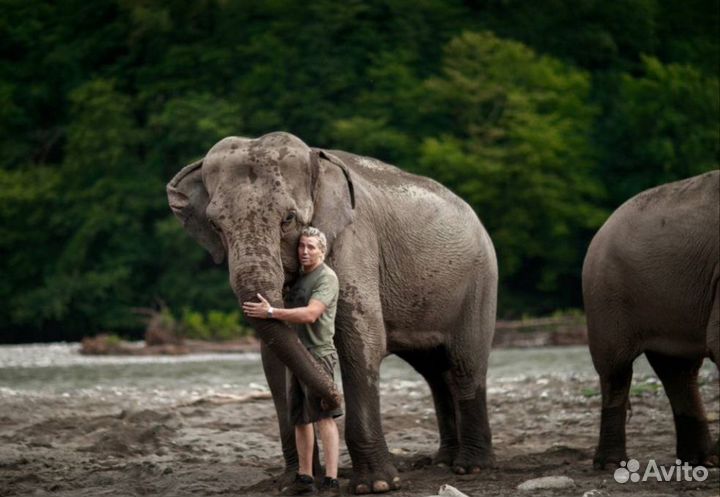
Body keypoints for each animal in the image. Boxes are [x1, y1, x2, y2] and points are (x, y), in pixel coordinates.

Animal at [167, 132, 498, 492]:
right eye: (216, 225)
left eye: (288, 219)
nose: (331, 402)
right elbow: (272, 360)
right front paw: (293, 483)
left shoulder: (355, 240)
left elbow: (361, 341)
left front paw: (376, 486)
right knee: (435, 372)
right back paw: (442, 461)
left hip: (480, 283)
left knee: (464, 363)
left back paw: (470, 467)